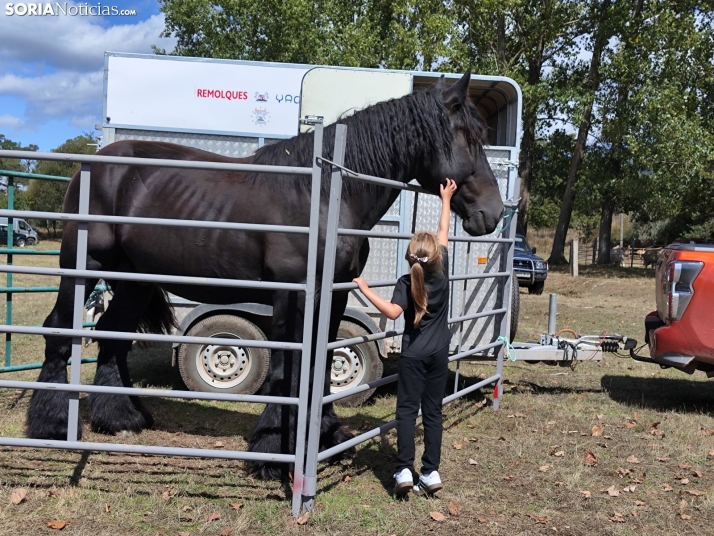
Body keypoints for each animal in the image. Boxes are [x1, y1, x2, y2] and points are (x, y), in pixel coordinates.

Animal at [26, 70, 500, 478]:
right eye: (470, 137)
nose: (493, 213)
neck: (322, 195)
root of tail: (95, 164)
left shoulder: (334, 295)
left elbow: (319, 365)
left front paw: (327, 436)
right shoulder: (293, 295)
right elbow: (287, 368)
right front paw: (272, 453)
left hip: (134, 282)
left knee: (111, 336)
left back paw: (121, 418)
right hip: (84, 266)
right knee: (59, 329)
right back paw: (50, 426)